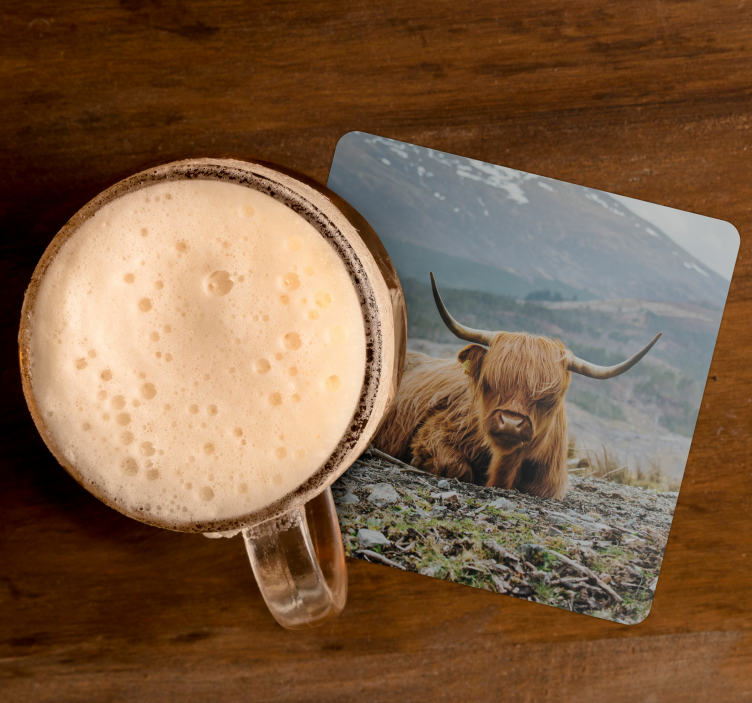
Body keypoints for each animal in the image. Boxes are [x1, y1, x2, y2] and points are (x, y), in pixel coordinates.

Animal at [373, 273, 661, 499]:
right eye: (490, 382)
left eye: (548, 398)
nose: (511, 423)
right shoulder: (436, 433)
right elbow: (454, 466)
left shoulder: (548, 484)